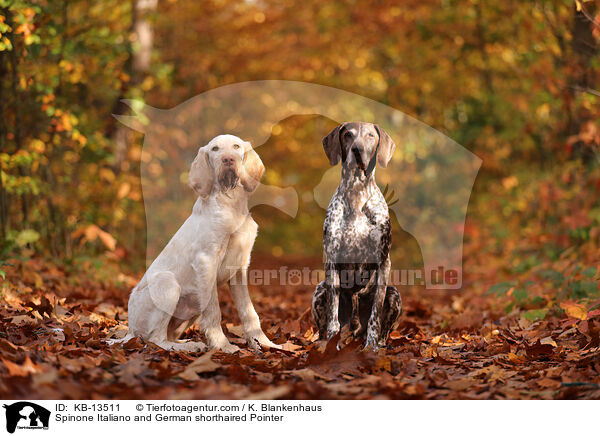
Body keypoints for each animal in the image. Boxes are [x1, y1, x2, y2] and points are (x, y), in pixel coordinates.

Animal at [113, 135, 282, 352]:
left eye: (236, 147)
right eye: (215, 149)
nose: (228, 159)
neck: (230, 203)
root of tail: (130, 331)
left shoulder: (239, 268)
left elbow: (249, 312)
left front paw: (264, 343)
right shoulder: (206, 262)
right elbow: (214, 311)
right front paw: (223, 346)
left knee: (167, 335)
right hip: (167, 283)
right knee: (156, 339)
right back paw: (189, 347)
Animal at [312, 121, 400, 350]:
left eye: (370, 135)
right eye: (348, 135)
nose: (357, 150)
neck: (357, 192)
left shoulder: (383, 262)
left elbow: (375, 315)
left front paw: (371, 347)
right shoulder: (332, 259)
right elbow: (333, 315)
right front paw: (331, 343)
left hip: (394, 294)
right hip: (319, 290)